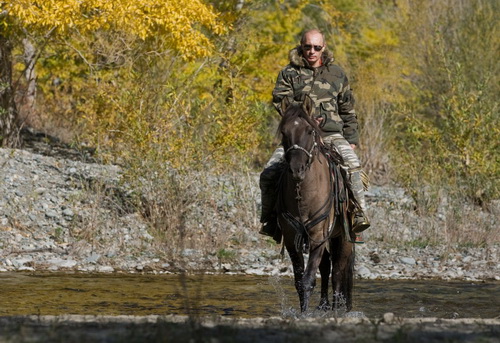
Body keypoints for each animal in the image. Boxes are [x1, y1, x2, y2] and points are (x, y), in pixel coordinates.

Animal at [278, 95, 356, 314]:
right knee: (327, 265)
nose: (297, 169)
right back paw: (323, 306)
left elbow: (309, 279)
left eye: (309, 130)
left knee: (338, 270)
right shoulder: (291, 239)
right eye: (284, 131)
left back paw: (337, 309)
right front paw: (303, 312)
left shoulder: (318, 236)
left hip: (344, 237)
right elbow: (300, 280)